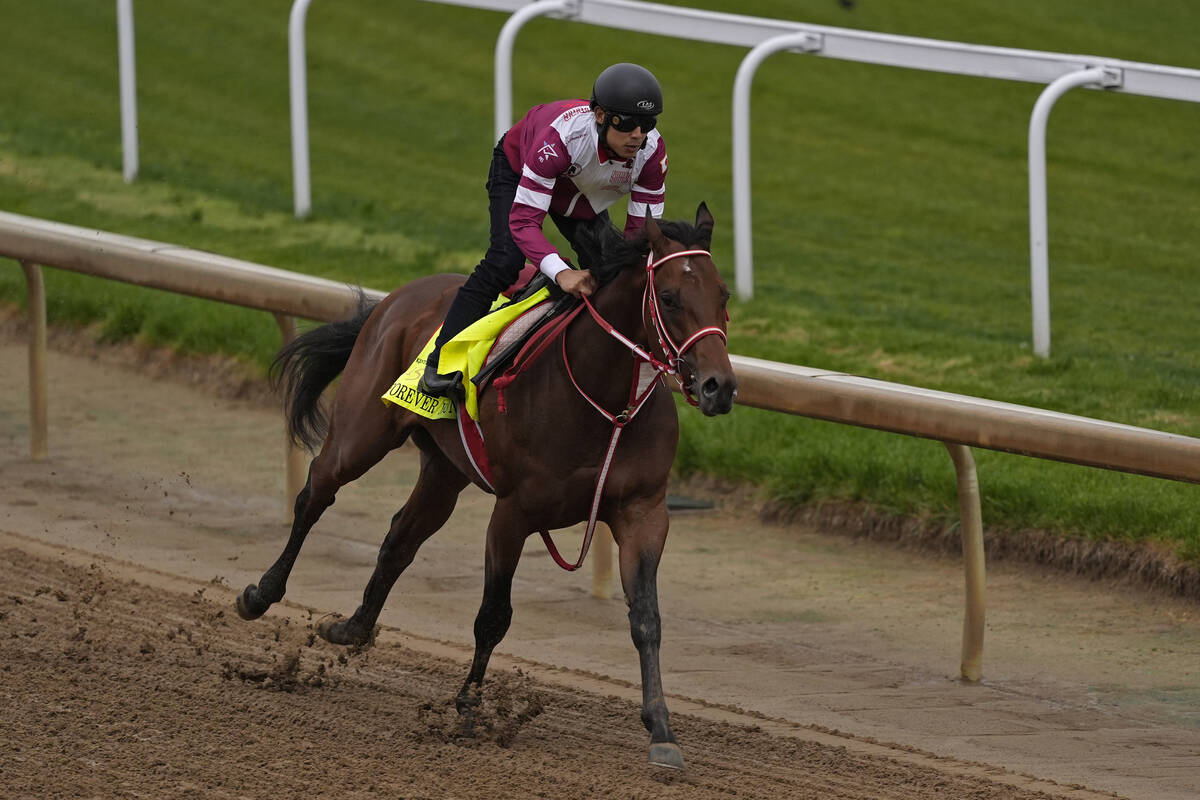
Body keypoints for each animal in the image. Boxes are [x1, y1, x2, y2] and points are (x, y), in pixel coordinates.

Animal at [234, 201, 734, 767]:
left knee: (399, 538)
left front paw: (662, 731)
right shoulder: (513, 513)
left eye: (723, 295)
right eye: (669, 298)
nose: (719, 387)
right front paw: (468, 708)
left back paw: (352, 627)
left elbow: (646, 618)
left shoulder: (643, 512)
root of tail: (399, 297)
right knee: (315, 494)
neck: (604, 399)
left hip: (444, 471)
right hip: (360, 435)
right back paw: (261, 594)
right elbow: (494, 614)